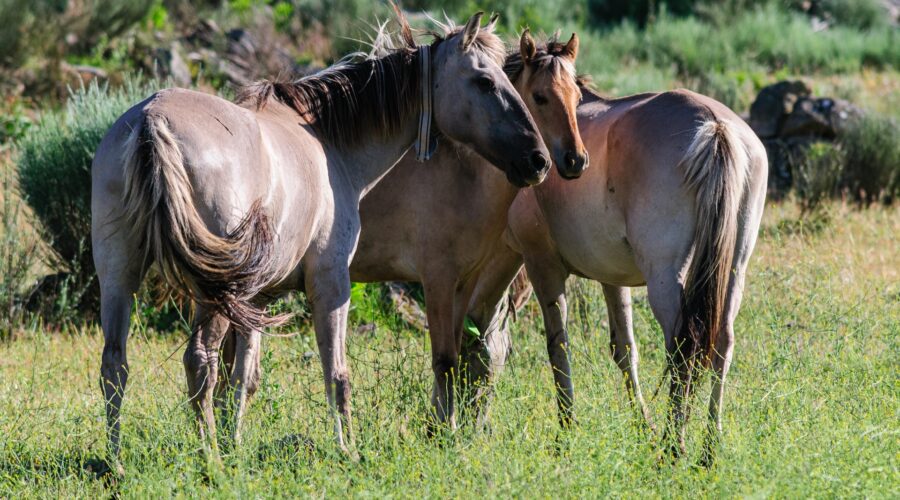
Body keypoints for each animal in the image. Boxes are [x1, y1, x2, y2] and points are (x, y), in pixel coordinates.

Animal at [90, 10, 550, 469]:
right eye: (484, 81)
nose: (538, 160)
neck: (329, 143)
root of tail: (153, 119)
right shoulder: (332, 281)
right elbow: (337, 373)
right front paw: (347, 449)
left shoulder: (259, 297)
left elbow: (244, 377)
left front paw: (237, 444)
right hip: (212, 292)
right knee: (199, 361)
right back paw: (210, 460)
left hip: (119, 276)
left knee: (115, 364)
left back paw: (117, 462)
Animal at [471, 84, 768, 463]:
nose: (473, 427)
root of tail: (715, 126)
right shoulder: (612, 277)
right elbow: (625, 349)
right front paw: (643, 426)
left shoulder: (543, 267)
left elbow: (558, 349)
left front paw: (566, 433)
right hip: (732, 274)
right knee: (721, 343)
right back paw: (709, 449)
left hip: (664, 280)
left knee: (683, 347)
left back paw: (674, 444)